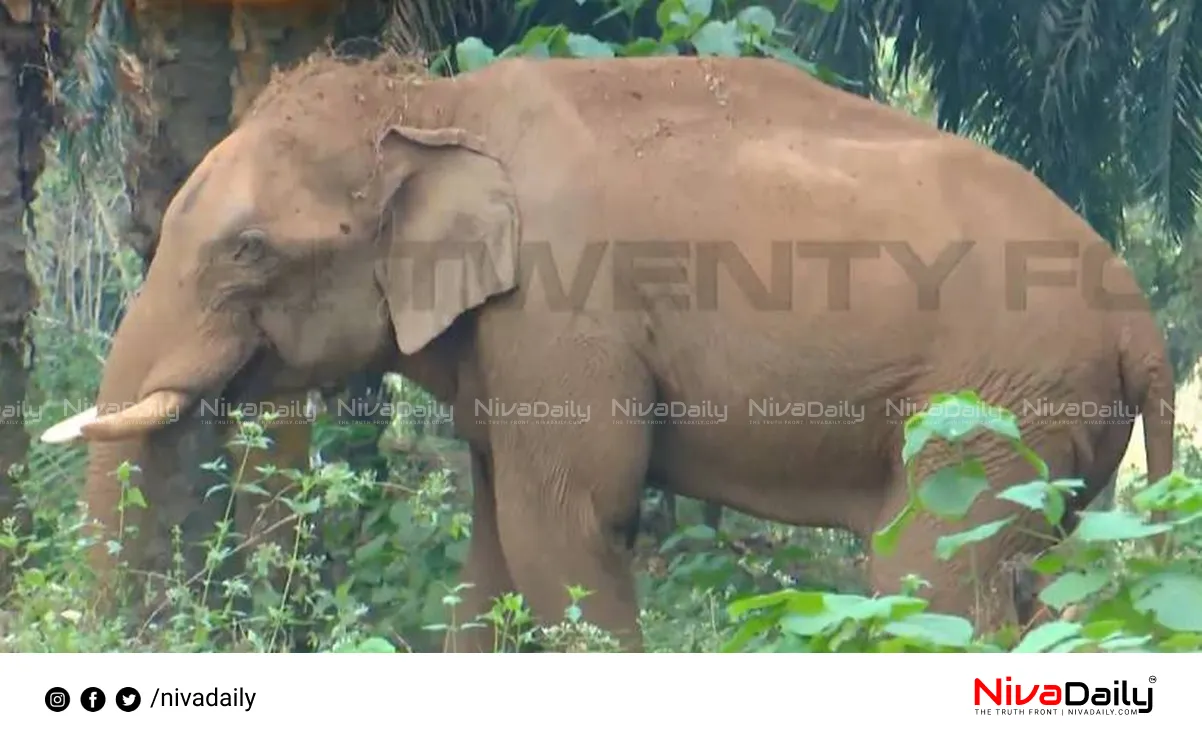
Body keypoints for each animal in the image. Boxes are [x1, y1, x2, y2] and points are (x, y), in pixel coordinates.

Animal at [42, 51, 1168, 649]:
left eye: (247, 248)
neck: (435, 104)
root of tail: (1142, 324)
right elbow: (496, 548)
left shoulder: (562, 307)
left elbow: (569, 527)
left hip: (987, 409)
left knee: (929, 583)